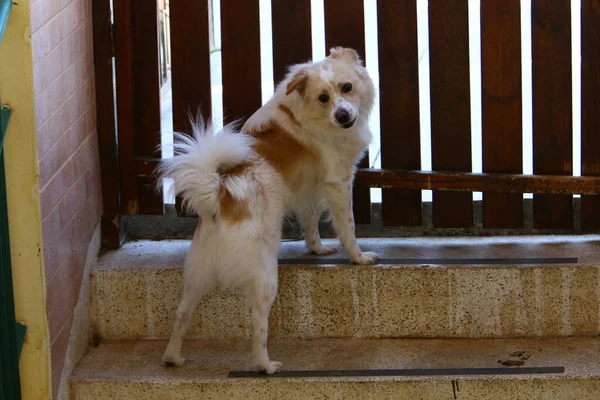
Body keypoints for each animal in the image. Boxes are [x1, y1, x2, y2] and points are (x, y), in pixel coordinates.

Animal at [157, 47, 378, 376]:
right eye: (323, 98)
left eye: (347, 87)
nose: (342, 115)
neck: (309, 114)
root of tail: (220, 198)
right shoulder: (339, 183)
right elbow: (347, 228)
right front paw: (358, 257)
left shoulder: (308, 188)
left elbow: (311, 221)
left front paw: (317, 249)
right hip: (264, 276)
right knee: (257, 323)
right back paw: (266, 365)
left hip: (196, 275)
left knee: (182, 313)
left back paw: (173, 357)